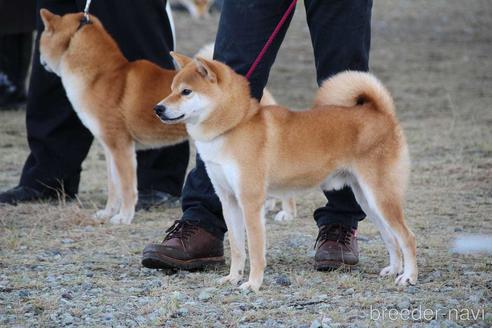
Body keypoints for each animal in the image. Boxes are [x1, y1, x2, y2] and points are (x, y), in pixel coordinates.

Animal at [38, 9, 188, 226]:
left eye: (41, 39)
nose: (40, 61)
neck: (98, 77)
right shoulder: (109, 147)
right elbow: (113, 187)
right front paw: (107, 213)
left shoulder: (121, 146)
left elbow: (127, 188)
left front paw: (124, 217)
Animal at [157, 53, 416, 292]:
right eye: (170, 90)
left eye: (186, 92)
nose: (157, 108)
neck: (234, 126)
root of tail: (382, 113)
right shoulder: (228, 200)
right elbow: (238, 247)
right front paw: (233, 277)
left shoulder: (251, 202)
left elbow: (255, 250)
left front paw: (253, 284)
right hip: (368, 200)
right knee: (391, 238)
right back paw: (394, 269)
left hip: (381, 197)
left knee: (407, 237)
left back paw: (408, 277)